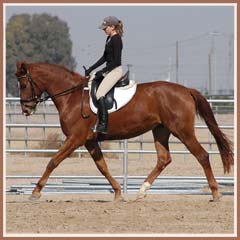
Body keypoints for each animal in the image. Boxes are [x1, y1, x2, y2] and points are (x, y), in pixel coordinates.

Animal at [15, 61, 233, 201]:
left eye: (24, 84)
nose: (26, 109)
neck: (72, 96)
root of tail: (186, 90)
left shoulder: (76, 138)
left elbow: (53, 161)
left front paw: (35, 192)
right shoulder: (89, 140)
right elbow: (102, 167)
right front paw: (118, 192)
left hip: (182, 131)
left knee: (202, 155)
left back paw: (215, 193)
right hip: (160, 131)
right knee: (164, 159)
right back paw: (142, 191)